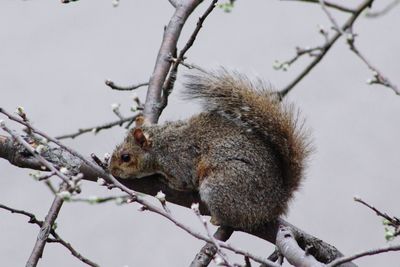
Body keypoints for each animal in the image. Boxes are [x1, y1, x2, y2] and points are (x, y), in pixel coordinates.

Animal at [109, 69, 312, 230]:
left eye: (126, 157)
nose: (111, 168)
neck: (159, 145)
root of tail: (277, 201)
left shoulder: (178, 161)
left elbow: (182, 182)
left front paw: (166, 180)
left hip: (221, 185)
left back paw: (217, 220)